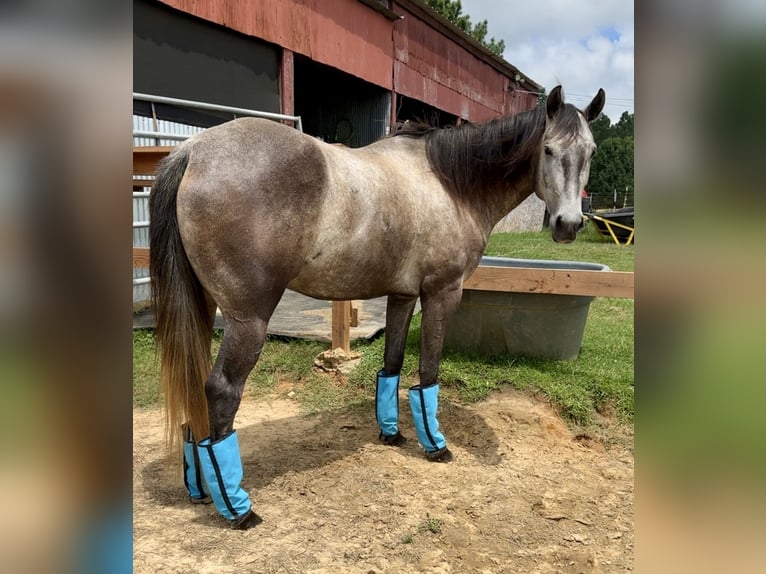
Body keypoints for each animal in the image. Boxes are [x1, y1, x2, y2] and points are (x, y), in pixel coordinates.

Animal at [149, 85, 605, 529]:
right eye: (548, 149)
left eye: (591, 151)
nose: (568, 225)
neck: (450, 184)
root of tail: (193, 151)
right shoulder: (442, 293)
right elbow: (428, 372)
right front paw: (435, 445)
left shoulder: (402, 296)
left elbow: (392, 364)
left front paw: (391, 433)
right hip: (249, 320)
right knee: (221, 390)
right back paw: (238, 509)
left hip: (205, 308)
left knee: (195, 388)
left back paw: (202, 488)